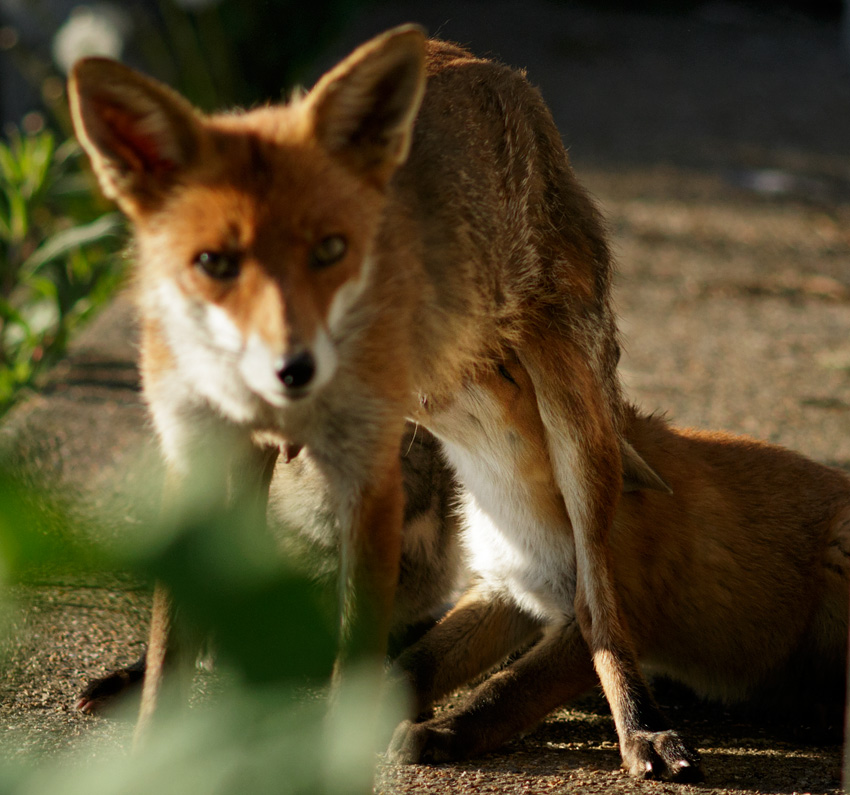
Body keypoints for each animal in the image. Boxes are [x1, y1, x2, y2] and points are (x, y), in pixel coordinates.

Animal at [68, 25, 695, 777]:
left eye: (332, 251)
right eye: (214, 263)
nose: (294, 369)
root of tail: (500, 74)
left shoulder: (368, 478)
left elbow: (352, 660)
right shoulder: (194, 457)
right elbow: (173, 655)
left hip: (575, 426)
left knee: (595, 608)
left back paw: (639, 727)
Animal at [388, 354, 850, 776]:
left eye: (502, 369)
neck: (517, 518)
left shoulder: (604, 614)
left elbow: (502, 690)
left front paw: (442, 731)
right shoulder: (505, 591)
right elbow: (421, 661)